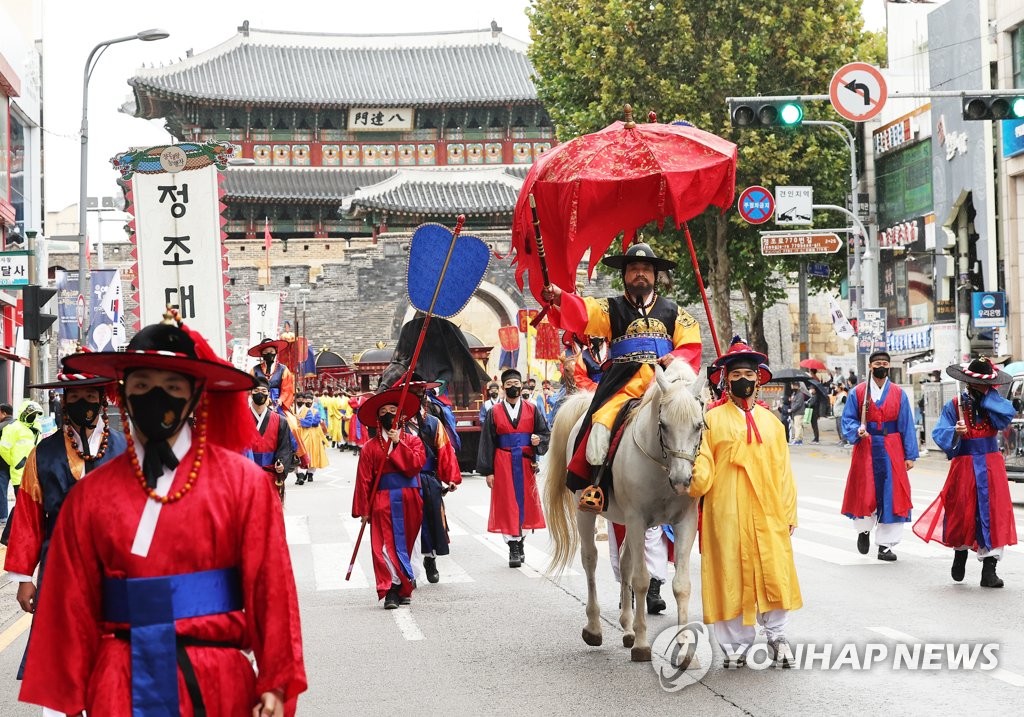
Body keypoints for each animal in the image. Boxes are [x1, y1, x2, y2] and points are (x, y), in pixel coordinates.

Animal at [544, 360, 704, 663]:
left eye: (698, 425)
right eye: (663, 425)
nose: (681, 480)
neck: (661, 465)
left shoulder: (684, 522)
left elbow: (681, 585)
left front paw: (686, 648)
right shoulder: (637, 519)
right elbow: (641, 580)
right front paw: (642, 644)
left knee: (625, 562)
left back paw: (627, 628)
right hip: (587, 512)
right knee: (591, 560)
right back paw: (595, 628)